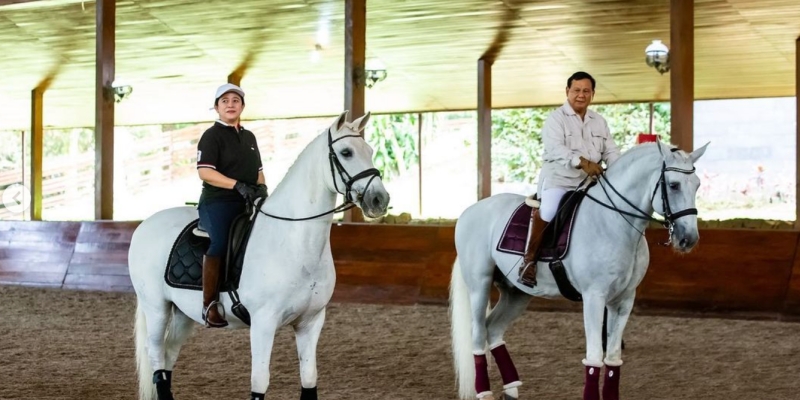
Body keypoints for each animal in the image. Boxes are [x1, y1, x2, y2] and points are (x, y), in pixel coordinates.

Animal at [128, 111, 390, 400]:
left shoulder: (311, 322)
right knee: (156, 356)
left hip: (183, 313)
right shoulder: (263, 323)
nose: (379, 200)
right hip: (156, 307)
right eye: (346, 152)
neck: (293, 240)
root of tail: (145, 225)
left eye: (370, 150)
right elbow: (260, 381)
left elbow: (309, 378)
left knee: (168, 354)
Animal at [449, 140, 709, 400]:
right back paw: (484, 392)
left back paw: (512, 388)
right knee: (477, 333)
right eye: (674, 185)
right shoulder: (594, 298)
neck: (613, 222)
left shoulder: (623, 300)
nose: (688, 239)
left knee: (493, 329)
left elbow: (612, 359)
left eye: (697, 185)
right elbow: (594, 358)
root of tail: (469, 212)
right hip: (480, 286)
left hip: (517, 293)